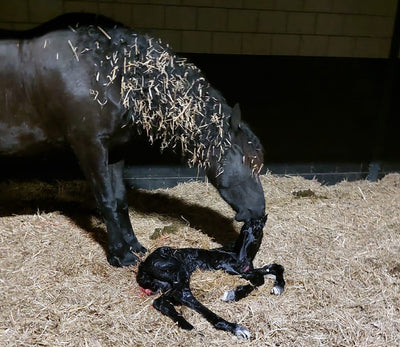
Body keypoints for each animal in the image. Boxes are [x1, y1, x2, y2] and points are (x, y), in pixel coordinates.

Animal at [138, 216, 284, 338]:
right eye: (243, 230)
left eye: (257, 230)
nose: (241, 260)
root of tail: (143, 266)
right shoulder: (225, 267)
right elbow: (259, 278)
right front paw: (231, 295)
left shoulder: (246, 270)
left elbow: (274, 267)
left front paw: (278, 287)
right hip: (180, 272)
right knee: (184, 296)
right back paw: (236, 328)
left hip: (167, 285)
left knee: (160, 302)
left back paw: (189, 327)